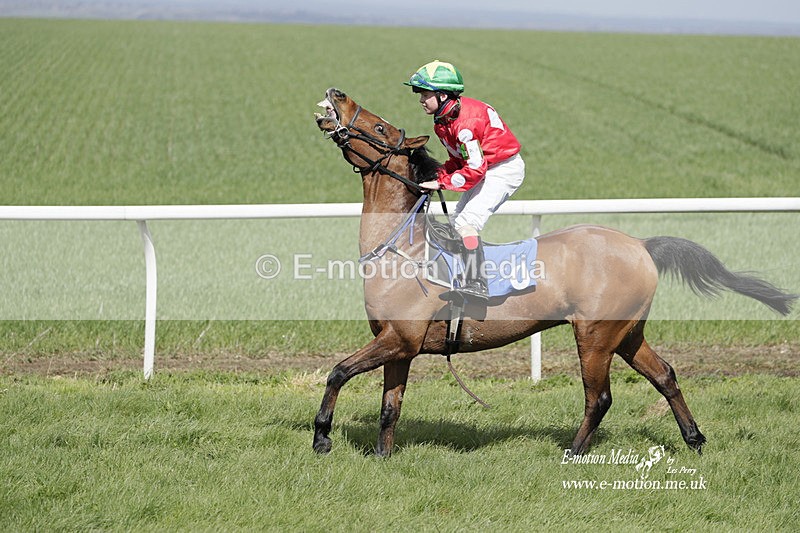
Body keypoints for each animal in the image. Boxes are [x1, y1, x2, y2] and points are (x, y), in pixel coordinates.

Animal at [312, 87, 797, 458]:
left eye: (380, 128)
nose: (336, 93)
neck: (403, 250)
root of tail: (640, 245)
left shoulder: (399, 339)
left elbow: (337, 371)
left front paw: (322, 437)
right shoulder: (400, 345)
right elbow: (389, 408)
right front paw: (382, 455)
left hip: (595, 335)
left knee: (599, 398)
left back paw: (574, 451)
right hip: (628, 333)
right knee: (665, 376)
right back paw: (693, 439)